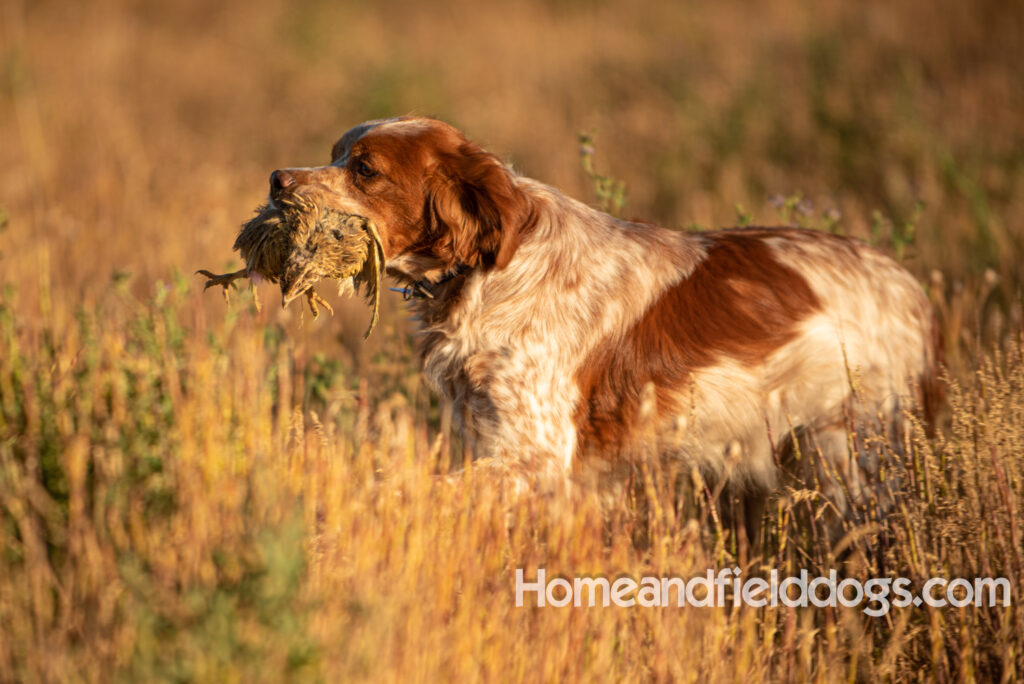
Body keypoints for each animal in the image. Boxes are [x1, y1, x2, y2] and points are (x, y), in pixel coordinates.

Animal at [268, 116, 937, 524]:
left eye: (365, 169)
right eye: (333, 154)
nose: (277, 178)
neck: (485, 275)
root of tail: (909, 287)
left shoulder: (536, 452)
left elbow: (411, 490)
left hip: (852, 453)